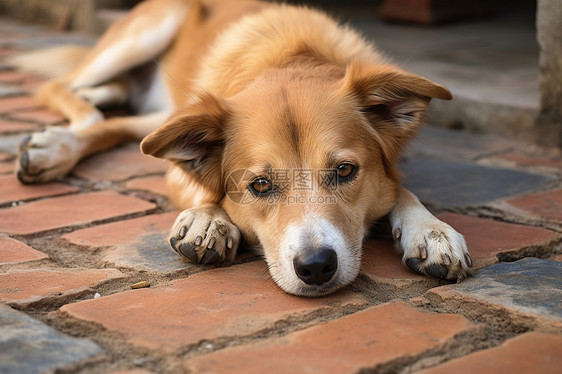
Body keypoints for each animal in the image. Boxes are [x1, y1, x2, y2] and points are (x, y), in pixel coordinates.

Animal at [13, 0, 470, 298]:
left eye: (344, 171)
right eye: (260, 185)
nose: (316, 267)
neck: (290, 57)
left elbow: (401, 189)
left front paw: (432, 231)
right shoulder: (178, 164)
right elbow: (205, 189)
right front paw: (208, 219)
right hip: (148, 32)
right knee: (62, 89)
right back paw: (61, 137)